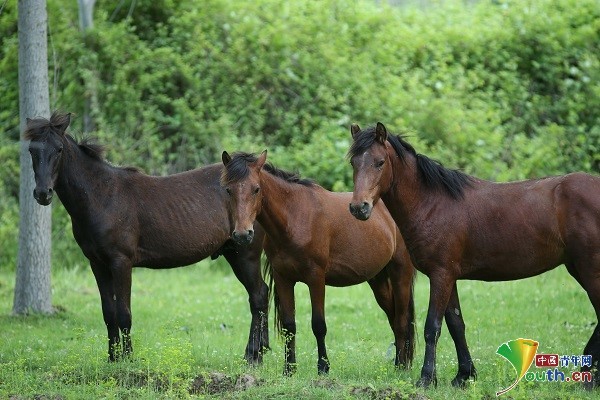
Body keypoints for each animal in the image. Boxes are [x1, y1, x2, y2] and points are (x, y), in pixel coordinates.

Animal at [25, 111, 270, 362]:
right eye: (32, 150)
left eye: (59, 149)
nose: (43, 193)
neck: (102, 196)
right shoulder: (97, 264)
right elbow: (108, 313)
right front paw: (112, 358)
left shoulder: (121, 262)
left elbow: (124, 314)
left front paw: (127, 359)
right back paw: (261, 350)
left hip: (245, 254)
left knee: (258, 296)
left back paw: (253, 355)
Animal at [220, 149, 418, 376]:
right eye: (228, 190)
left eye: (256, 189)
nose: (243, 235)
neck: (294, 218)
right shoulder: (283, 278)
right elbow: (289, 325)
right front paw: (289, 369)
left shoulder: (316, 278)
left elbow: (318, 325)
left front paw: (323, 367)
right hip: (378, 280)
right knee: (394, 317)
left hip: (400, 273)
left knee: (401, 320)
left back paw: (401, 367)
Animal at [346, 122, 600, 388]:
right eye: (354, 162)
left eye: (380, 162)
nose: (359, 207)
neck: (432, 204)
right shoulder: (449, 277)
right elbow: (456, 324)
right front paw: (464, 375)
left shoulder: (441, 275)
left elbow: (432, 327)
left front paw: (427, 378)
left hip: (590, 270)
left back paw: (588, 377)